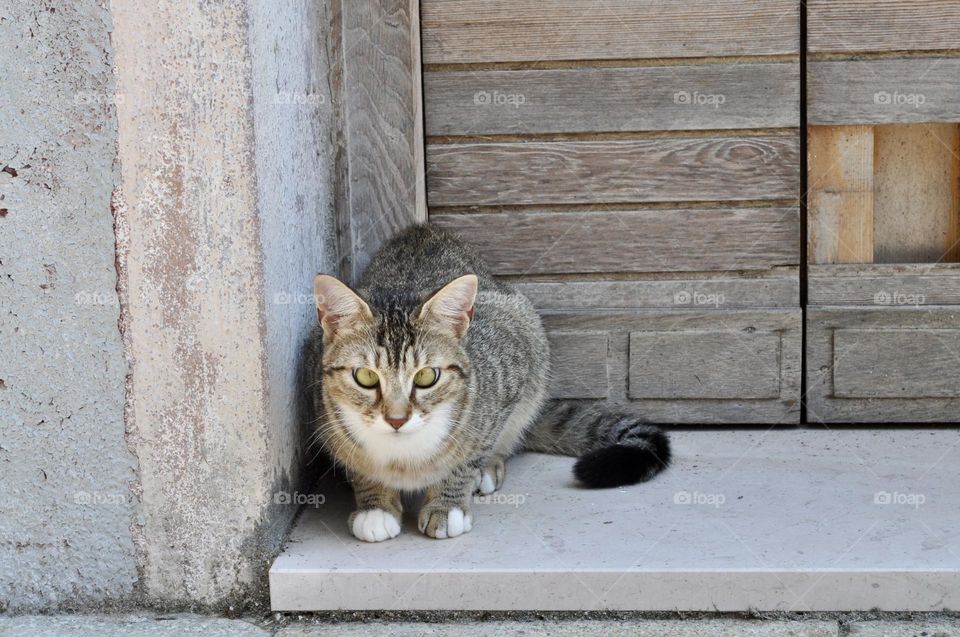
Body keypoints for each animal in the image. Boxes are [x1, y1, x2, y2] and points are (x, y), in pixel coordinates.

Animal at [306, 224, 668, 540]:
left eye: (426, 376)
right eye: (366, 377)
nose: (396, 419)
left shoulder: (510, 375)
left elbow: (472, 452)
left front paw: (448, 503)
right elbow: (358, 465)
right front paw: (375, 505)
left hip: (528, 337)